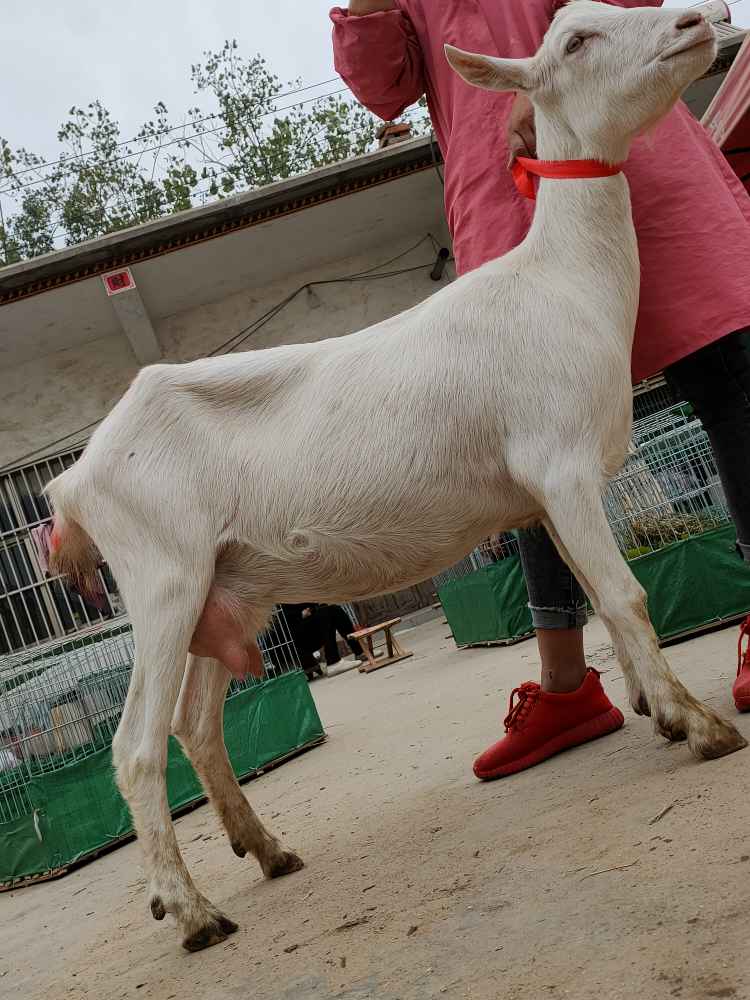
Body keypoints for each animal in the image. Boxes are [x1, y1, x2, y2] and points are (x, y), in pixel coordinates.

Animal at [47, 1, 748, 952]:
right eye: (575, 41)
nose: (698, 20)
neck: (564, 280)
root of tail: (73, 483)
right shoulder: (560, 462)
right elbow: (628, 594)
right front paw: (699, 725)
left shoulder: (547, 491)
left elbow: (603, 602)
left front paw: (658, 710)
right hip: (162, 577)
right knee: (135, 747)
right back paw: (191, 911)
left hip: (223, 590)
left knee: (195, 725)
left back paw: (266, 851)